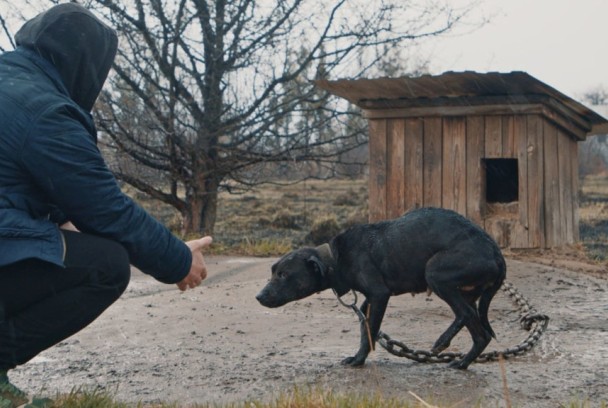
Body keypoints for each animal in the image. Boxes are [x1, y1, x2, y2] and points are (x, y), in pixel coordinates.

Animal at [254, 207, 506, 370]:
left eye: (283, 274)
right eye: (273, 271)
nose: (258, 297)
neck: (336, 258)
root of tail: (495, 252)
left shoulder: (379, 295)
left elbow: (371, 330)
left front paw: (359, 360)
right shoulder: (367, 302)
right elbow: (365, 330)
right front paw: (358, 356)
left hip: (436, 273)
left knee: (474, 324)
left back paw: (457, 357)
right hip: (464, 290)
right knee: (470, 319)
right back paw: (448, 347)